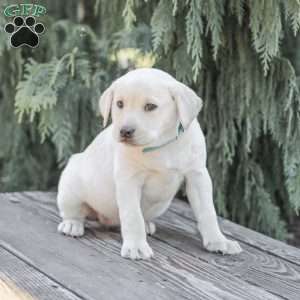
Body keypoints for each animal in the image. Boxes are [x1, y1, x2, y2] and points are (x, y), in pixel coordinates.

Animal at [57, 67, 243, 258]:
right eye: (119, 104)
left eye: (150, 107)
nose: (125, 131)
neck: (160, 144)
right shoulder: (129, 180)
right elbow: (132, 216)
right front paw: (136, 246)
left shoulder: (197, 176)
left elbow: (207, 212)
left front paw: (218, 241)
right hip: (70, 186)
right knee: (74, 212)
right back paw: (72, 224)